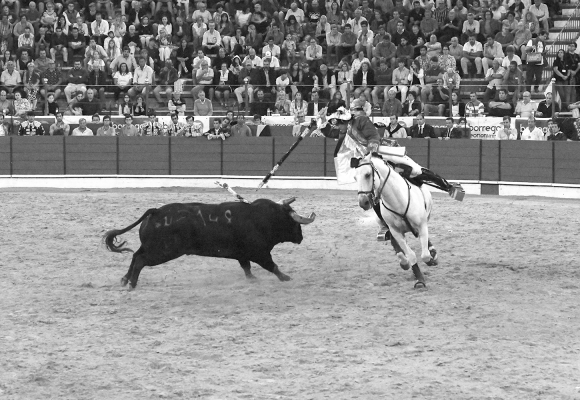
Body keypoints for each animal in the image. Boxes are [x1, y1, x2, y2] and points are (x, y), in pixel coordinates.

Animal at [102, 198, 314, 288]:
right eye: (294, 223)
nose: (301, 237)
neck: (263, 218)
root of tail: (156, 211)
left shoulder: (242, 254)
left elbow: (246, 268)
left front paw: (253, 279)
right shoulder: (260, 253)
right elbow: (272, 266)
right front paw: (285, 277)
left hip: (151, 247)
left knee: (135, 256)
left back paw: (125, 279)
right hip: (162, 251)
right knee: (140, 260)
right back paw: (132, 283)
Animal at [352, 152, 438, 286]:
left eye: (367, 174)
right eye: (355, 177)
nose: (363, 202)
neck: (398, 202)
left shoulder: (422, 225)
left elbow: (425, 255)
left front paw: (431, 259)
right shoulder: (396, 231)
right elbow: (411, 254)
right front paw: (419, 280)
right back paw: (404, 262)